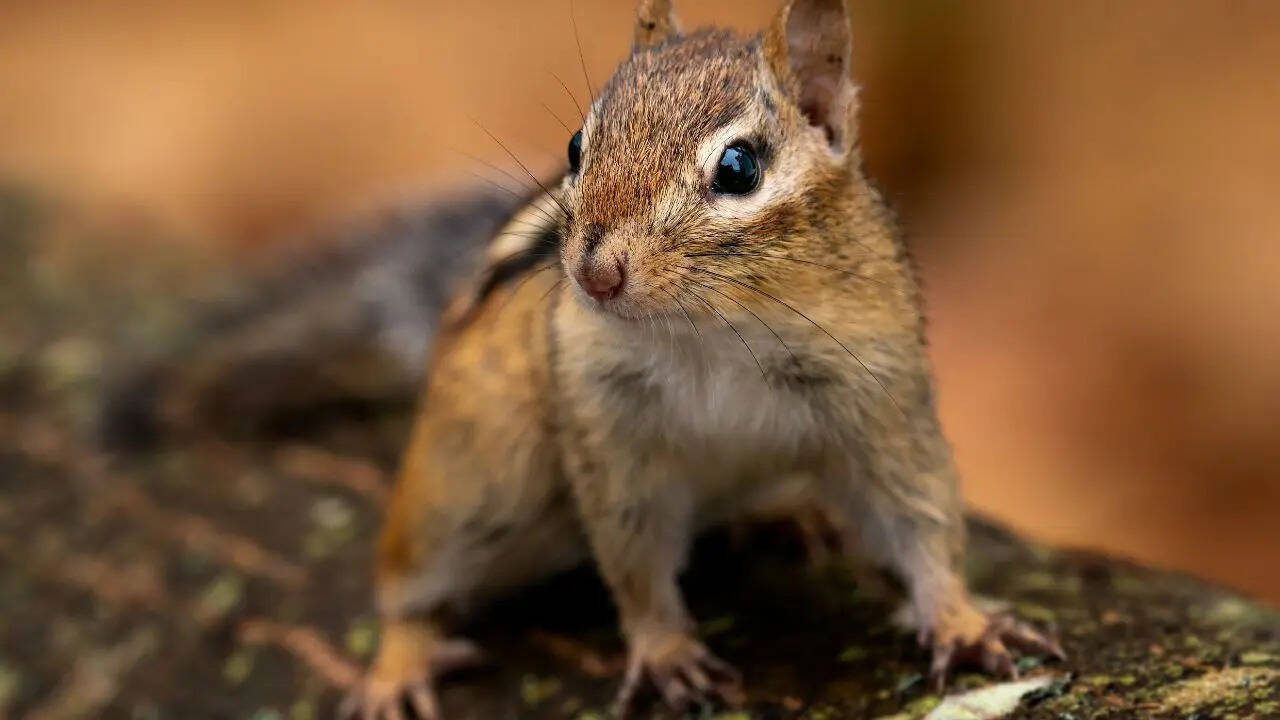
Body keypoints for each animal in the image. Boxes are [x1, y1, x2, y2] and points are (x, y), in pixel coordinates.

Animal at [342, 0, 1064, 718]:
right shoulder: (611, 434)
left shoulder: (880, 396)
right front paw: (665, 651)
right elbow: (634, 559)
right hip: (473, 478)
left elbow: (921, 516)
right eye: (577, 146)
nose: (594, 276)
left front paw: (963, 622)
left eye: (739, 168)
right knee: (408, 583)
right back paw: (398, 667)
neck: (718, 330)